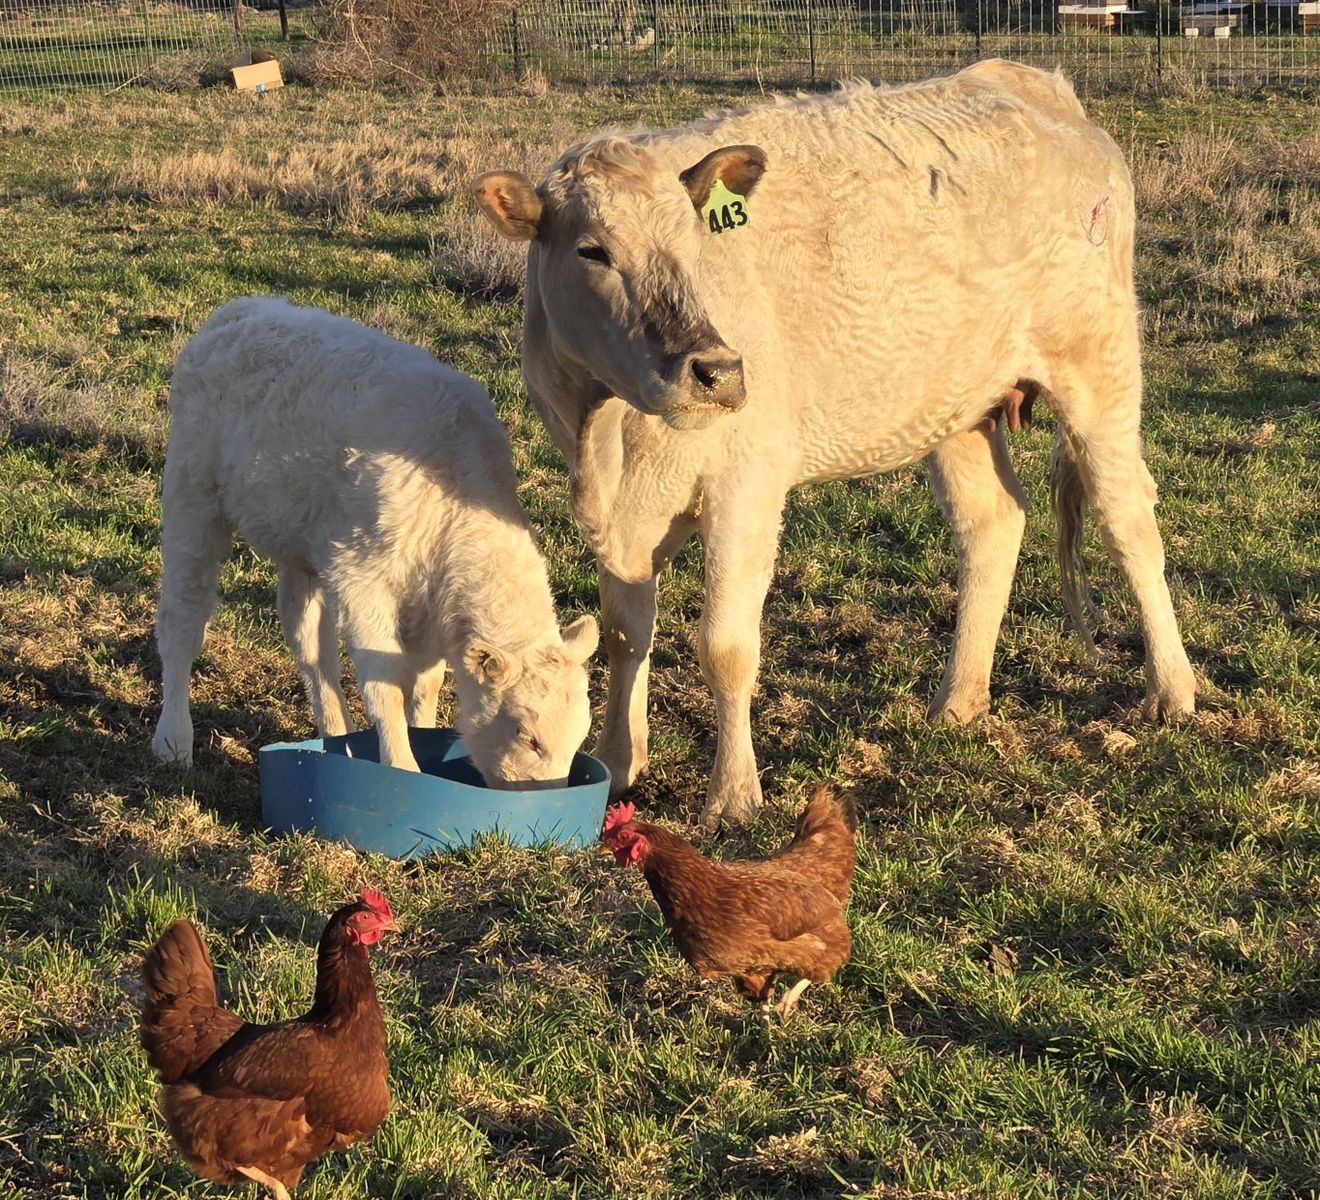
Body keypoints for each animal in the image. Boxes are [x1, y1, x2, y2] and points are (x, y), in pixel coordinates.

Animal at [474, 59, 1197, 828]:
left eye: (695, 244)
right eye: (592, 251)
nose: (716, 371)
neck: (612, 432)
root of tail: (1037, 84)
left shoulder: (746, 486)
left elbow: (725, 647)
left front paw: (734, 794)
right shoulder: (623, 512)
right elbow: (623, 632)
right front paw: (618, 760)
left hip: (1098, 366)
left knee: (1128, 519)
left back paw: (1172, 689)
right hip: (957, 403)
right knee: (993, 524)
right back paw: (958, 702)